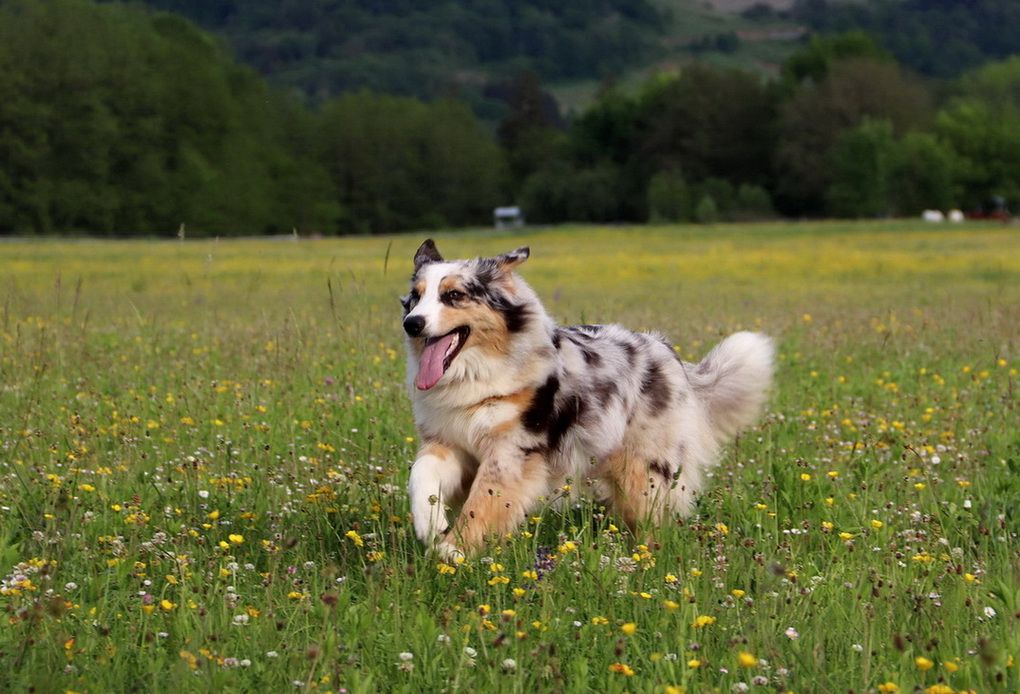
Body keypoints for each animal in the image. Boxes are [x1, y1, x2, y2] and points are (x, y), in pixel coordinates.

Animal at [401, 238, 767, 559]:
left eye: (454, 295)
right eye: (415, 298)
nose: (411, 324)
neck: (474, 376)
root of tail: (665, 350)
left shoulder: (511, 452)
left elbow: (481, 504)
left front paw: (453, 550)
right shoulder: (450, 442)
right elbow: (421, 477)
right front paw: (432, 527)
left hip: (642, 470)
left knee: (650, 521)